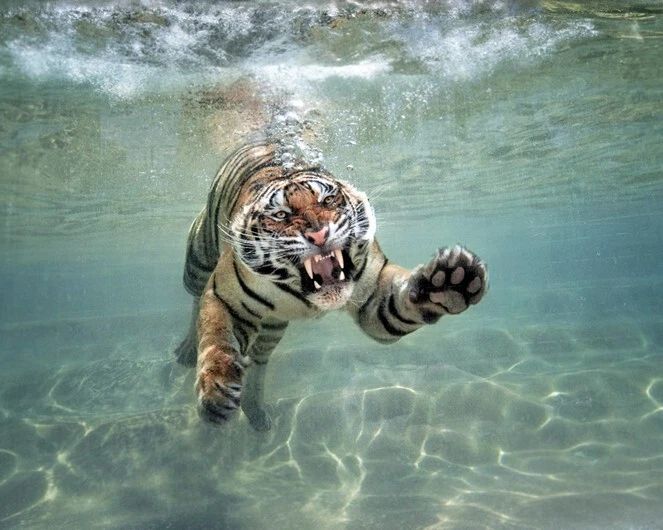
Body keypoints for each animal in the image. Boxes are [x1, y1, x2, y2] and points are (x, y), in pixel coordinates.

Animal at [175, 142, 487, 431]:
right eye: (281, 215)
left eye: (327, 200)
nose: (319, 234)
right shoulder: (224, 297)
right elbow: (217, 337)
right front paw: (216, 390)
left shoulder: (374, 295)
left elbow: (401, 304)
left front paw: (450, 282)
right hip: (199, 259)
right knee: (195, 299)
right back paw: (188, 351)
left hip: (273, 326)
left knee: (259, 359)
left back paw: (257, 414)